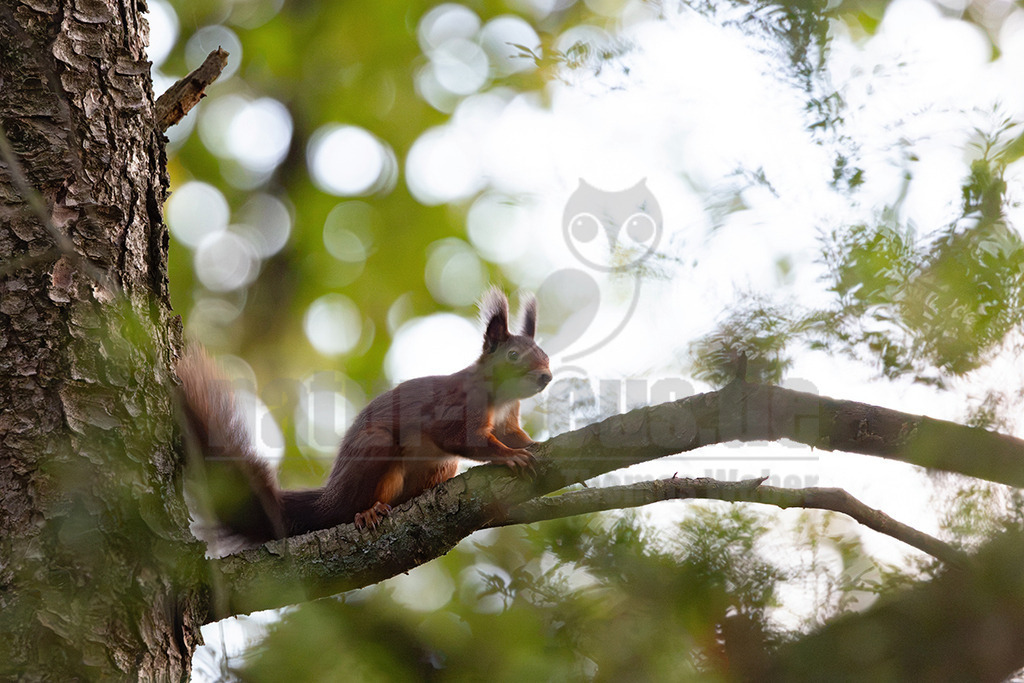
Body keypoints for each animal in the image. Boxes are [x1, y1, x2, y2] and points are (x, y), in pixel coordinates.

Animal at [177, 289, 551, 546]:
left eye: (545, 354)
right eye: (513, 355)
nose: (546, 377)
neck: (501, 398)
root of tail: (328, 501)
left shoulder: (507, 418)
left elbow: (513, 433)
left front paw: (534, 443)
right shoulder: (458, 406)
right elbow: (462, 438)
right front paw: (509, 455)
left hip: (439, 467)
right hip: (374, 449)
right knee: (352, 506)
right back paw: (366, 511)